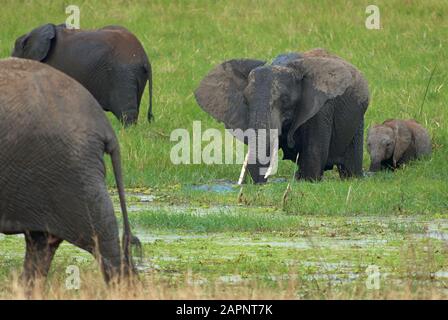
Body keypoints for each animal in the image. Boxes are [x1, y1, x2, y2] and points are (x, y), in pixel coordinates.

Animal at [196, 47, 372, 182]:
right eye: (246, 101)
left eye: (286, 101)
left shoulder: (320, 109)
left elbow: (313, 154)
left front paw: (307, 181)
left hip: (358, 117)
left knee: (350, 166)